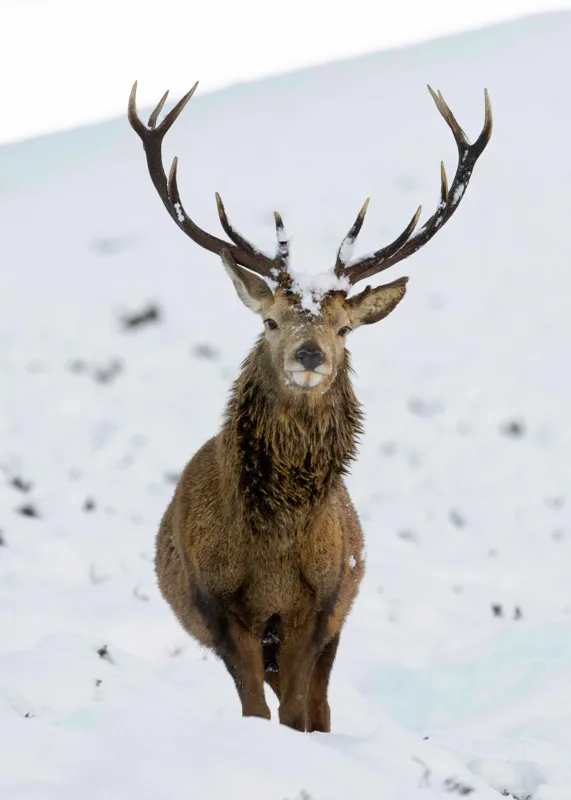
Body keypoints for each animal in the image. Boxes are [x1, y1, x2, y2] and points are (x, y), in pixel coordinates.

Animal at [128, 81, 492, 732]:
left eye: (345, 328)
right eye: (270, 320)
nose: (309, 354)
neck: (274, 550)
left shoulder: (319, 607)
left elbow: (299, 710)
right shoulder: (220, 608)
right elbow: (255, 708)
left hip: (339, 616)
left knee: (321, 703)